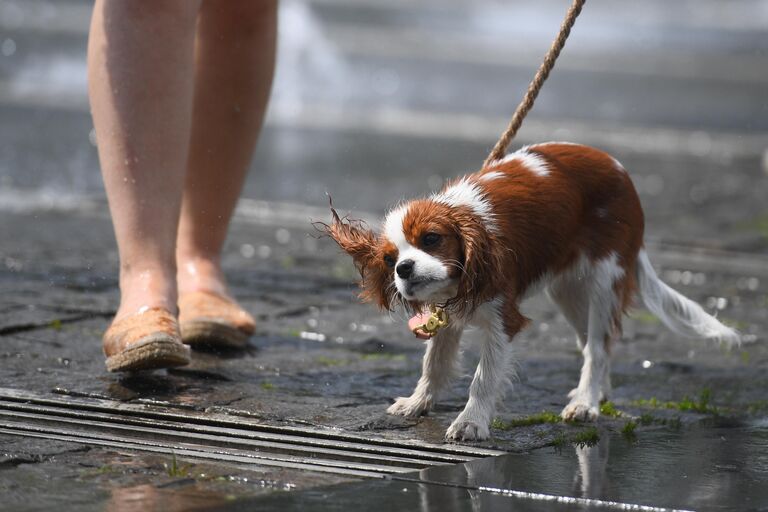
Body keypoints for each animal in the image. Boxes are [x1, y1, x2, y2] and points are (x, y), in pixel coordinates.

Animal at [322, 142, 736, 442]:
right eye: (390, 259)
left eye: (431, 239)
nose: (404, 269)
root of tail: (618, 169)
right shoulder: (446, 312)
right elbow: (434, 364)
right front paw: (417, 403)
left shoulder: (503, 319)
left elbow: (483, 377)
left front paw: (471, 423)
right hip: (567, 292)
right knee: (594, 344)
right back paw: (596, 394)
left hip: (604, 281)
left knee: (598, 347)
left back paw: (586, 403)